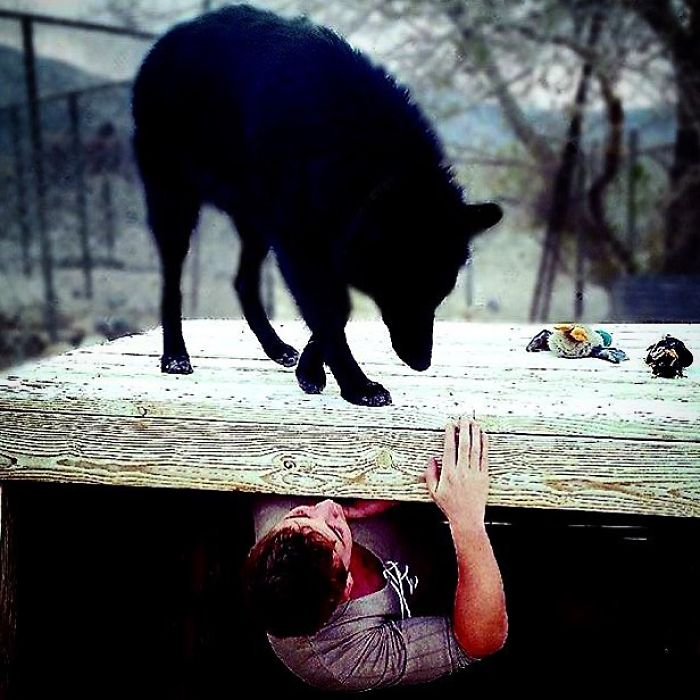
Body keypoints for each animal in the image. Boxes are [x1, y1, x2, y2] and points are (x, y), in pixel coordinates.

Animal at [132, 4, 502, 406]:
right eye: (403, 286)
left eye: (439, 293)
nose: (422, 363)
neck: (351, 145)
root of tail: (170, 38)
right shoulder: (300, 244)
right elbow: (332, 312)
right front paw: (357, 386)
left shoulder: (323, 242)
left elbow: (335, 312)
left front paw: (309, 371)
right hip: (175, 207)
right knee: (172, 283)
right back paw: (175, 356)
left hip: (256, 226)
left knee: (243, 282)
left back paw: (277, 349)